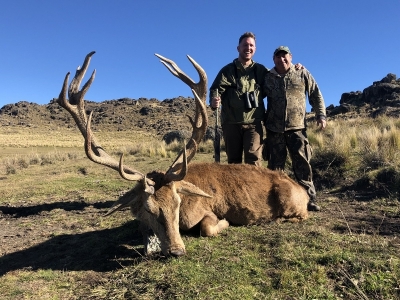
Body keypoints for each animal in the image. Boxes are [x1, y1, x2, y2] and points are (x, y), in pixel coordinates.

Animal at [57, 52, 308, 258]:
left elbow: (207, 228)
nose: (177, 250)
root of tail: (303, 192)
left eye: (177, 203)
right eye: (149, 208)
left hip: (290, 201)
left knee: (301, 215)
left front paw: (225, 223)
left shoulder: (206, 212)